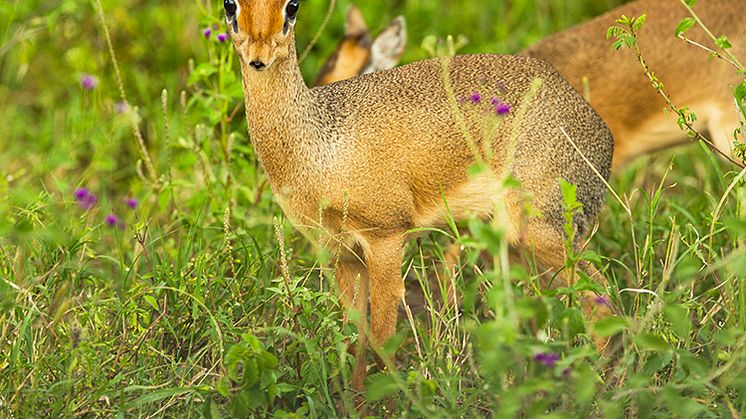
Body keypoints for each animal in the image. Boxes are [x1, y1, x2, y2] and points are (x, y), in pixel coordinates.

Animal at [224, 0, 612, 394]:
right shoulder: (342, 254)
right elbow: (354, 339)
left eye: (292, 6)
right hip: (518, 244)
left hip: (539, 231)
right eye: (230, 5)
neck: (322, 143)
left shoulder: (386, 238)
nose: (258, 57)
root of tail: (601, 133)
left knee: (601, 298)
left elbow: (383, 340)